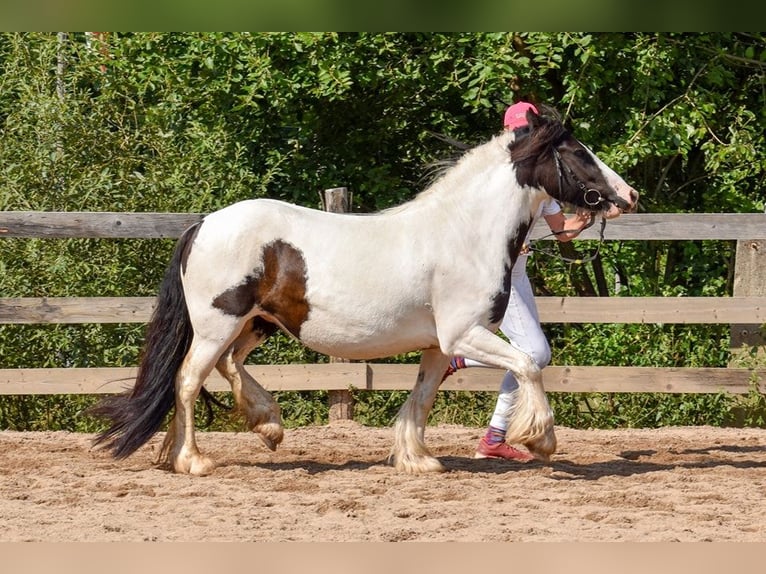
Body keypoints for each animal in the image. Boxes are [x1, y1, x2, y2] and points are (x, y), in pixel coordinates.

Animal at [91, 108, 640, 476]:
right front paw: (542, 440)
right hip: (217, 324)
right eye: (579, 153)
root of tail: (203, 224)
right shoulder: (464, 335)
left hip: (257, 323)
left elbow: (423, 397)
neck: (464, 233)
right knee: (187, 380)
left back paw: (258, 427)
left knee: (225, 368)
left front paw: (418, 460)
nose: (628, 196)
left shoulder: (439, 346)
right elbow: (527, 365)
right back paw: (193, 460)